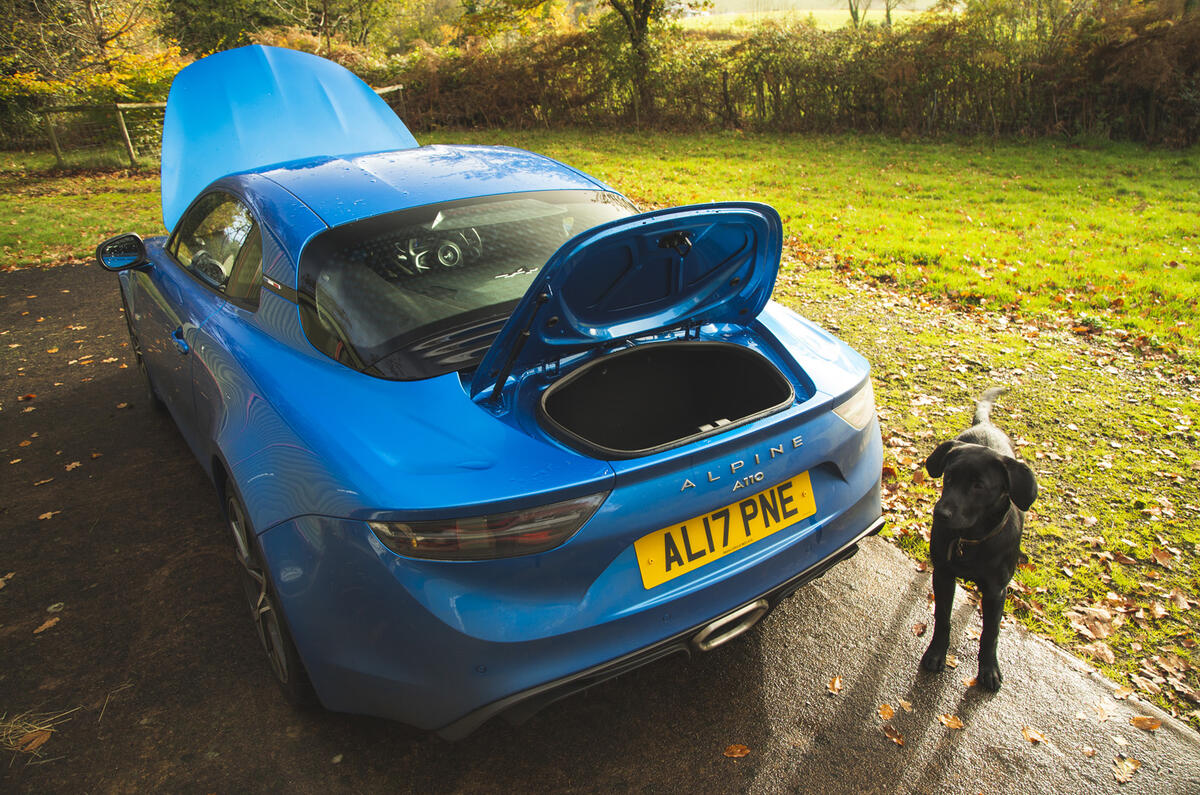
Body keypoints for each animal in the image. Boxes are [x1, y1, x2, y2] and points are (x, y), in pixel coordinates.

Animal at [921, 389, 1036, 696]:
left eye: (979, 486)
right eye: (949, 477)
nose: (940, 514)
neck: (971, 540)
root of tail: (985, 425)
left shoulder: (997, 591)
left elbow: (990, 633)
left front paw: (989, 669)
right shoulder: (944, 575)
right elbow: (943, 618)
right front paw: (936, 653)